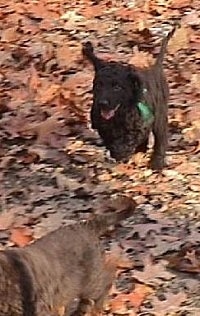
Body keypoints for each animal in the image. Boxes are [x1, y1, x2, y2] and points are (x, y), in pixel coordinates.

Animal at [82, 27, 176, 170]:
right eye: (98, 85)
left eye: (117, 87)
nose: (102, 103)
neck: (118, 114)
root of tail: (155, 68)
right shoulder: (100, 123)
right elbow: (108, 136)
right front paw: (116, 150)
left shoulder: (141, 123)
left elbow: (130, 138)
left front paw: (122, 150)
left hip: (160, 115)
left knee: (160, 138)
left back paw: (156, 163)